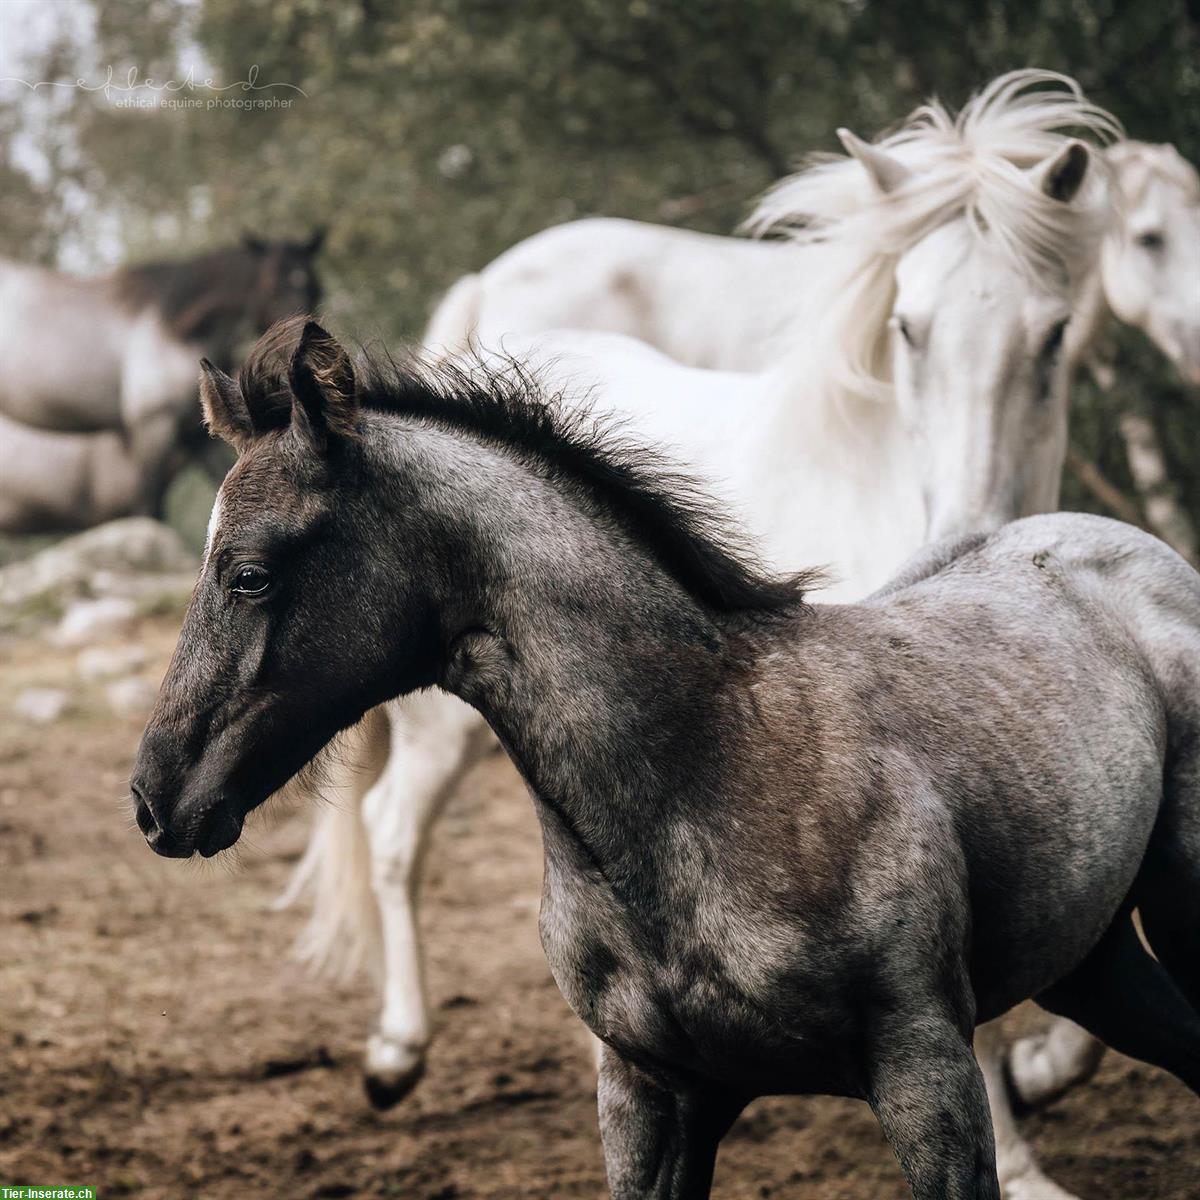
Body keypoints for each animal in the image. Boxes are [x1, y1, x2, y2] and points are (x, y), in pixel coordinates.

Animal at [131, 319, 1200, 1200]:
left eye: (249, 573)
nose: (154, 797)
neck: (706, 773)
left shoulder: (925, 1068)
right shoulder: (649, 1093)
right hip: (1092, 961)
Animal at [285, 75, 1118, 1200]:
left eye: (1055, 334)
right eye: (908, 328)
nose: (966, 525)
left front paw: (1045, 1076)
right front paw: (1024, 1156)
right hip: (441, 724)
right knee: (392, 837)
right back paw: (394, 1055)